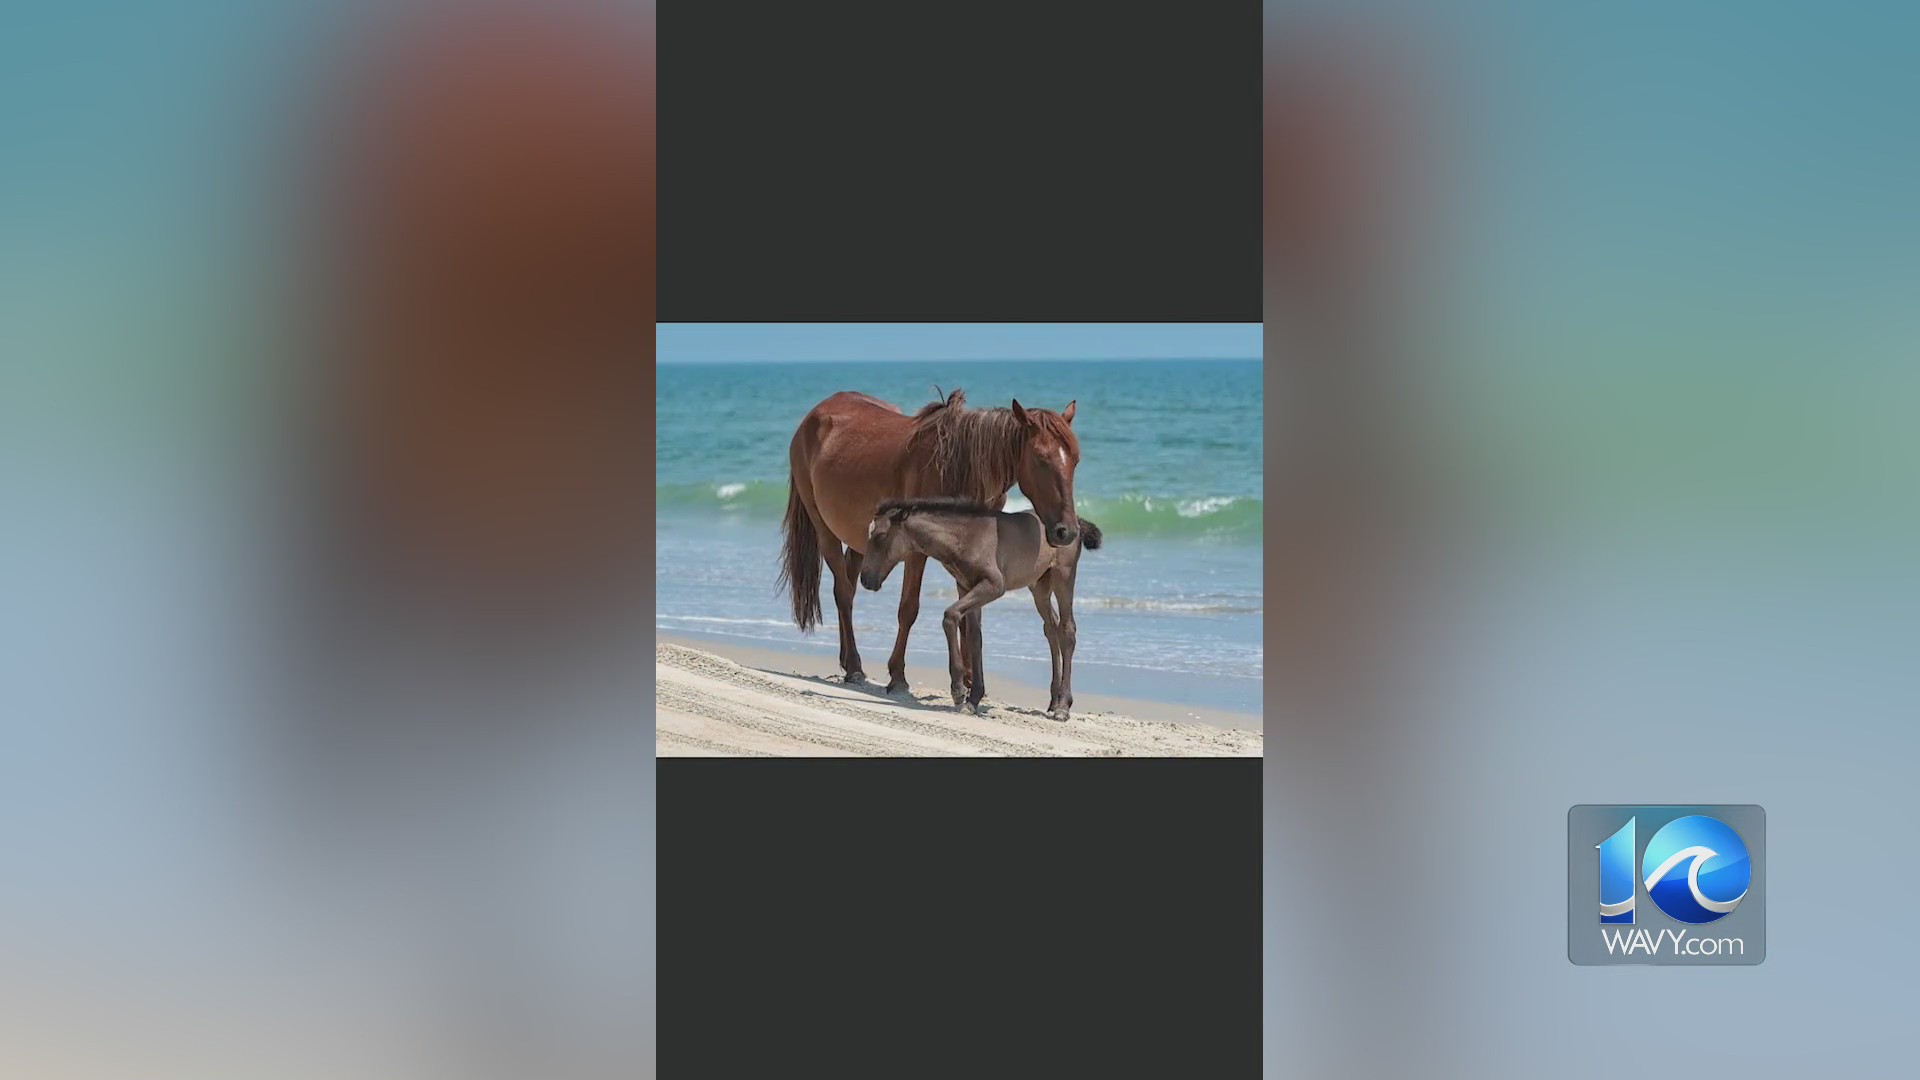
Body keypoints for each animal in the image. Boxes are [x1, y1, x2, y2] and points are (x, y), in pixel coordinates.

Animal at [779, 388, 1082, 696]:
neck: (959, 465)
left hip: (857, 543)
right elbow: (909, 609)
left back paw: (846, 660)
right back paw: (854, 666)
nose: (1066, 532)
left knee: (848, 590)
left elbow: (969, 617)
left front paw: (969, 680)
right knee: (843, 592)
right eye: (1041, 458)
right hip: (824, 530)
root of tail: (815, 415)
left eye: (1076, 459)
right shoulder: (916, 550)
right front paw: (898, 676)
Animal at [857, 498, 1102, 719]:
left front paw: (958, 690)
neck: (964, 538)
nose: (866, 579)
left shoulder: (994, 586)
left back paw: (1063, 706)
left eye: (880, 536)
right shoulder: (966, 586)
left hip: (1063, 576)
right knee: (1051, 627)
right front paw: (973, 699)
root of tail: (1076, 522)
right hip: (1039, 585)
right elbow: (974, 636)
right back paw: (1053, 701)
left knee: (1067, 630)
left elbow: (950, 616)